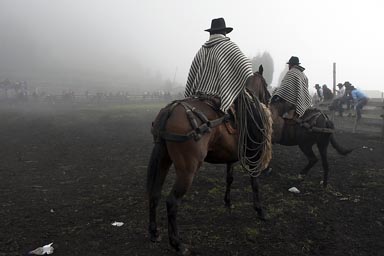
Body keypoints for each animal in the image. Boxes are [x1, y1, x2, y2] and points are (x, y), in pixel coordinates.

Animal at [146, 65, 270, 254]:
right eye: (265, 84)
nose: (270, 98)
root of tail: (170, 110)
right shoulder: (252, 155)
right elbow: (254, 183)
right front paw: (260, 210)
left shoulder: (231, 157)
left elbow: (229, 178)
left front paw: (228, 202)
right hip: (187, 170)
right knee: (172, 202)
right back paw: (177, 243)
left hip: (163, 161)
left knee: (154, 193)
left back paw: (154, 232)